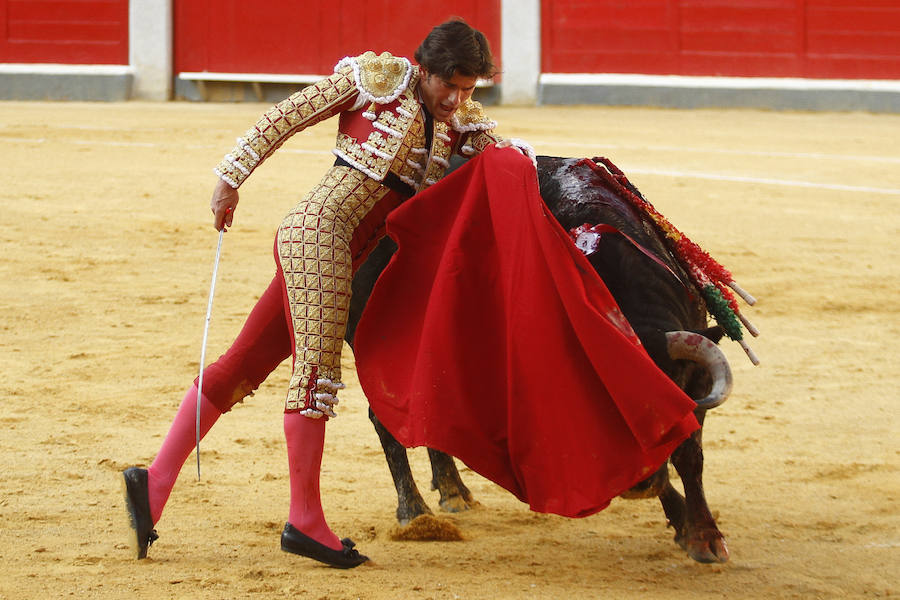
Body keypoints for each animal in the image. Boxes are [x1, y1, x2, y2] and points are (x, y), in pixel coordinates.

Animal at [342, 154, 748, 564]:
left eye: (670, 389)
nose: (640, 483)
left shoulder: (696, 380)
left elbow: (689, 455)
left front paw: (703, 535)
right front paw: (691, 527)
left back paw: (455, 493)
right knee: (385, 420)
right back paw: (414, 514)